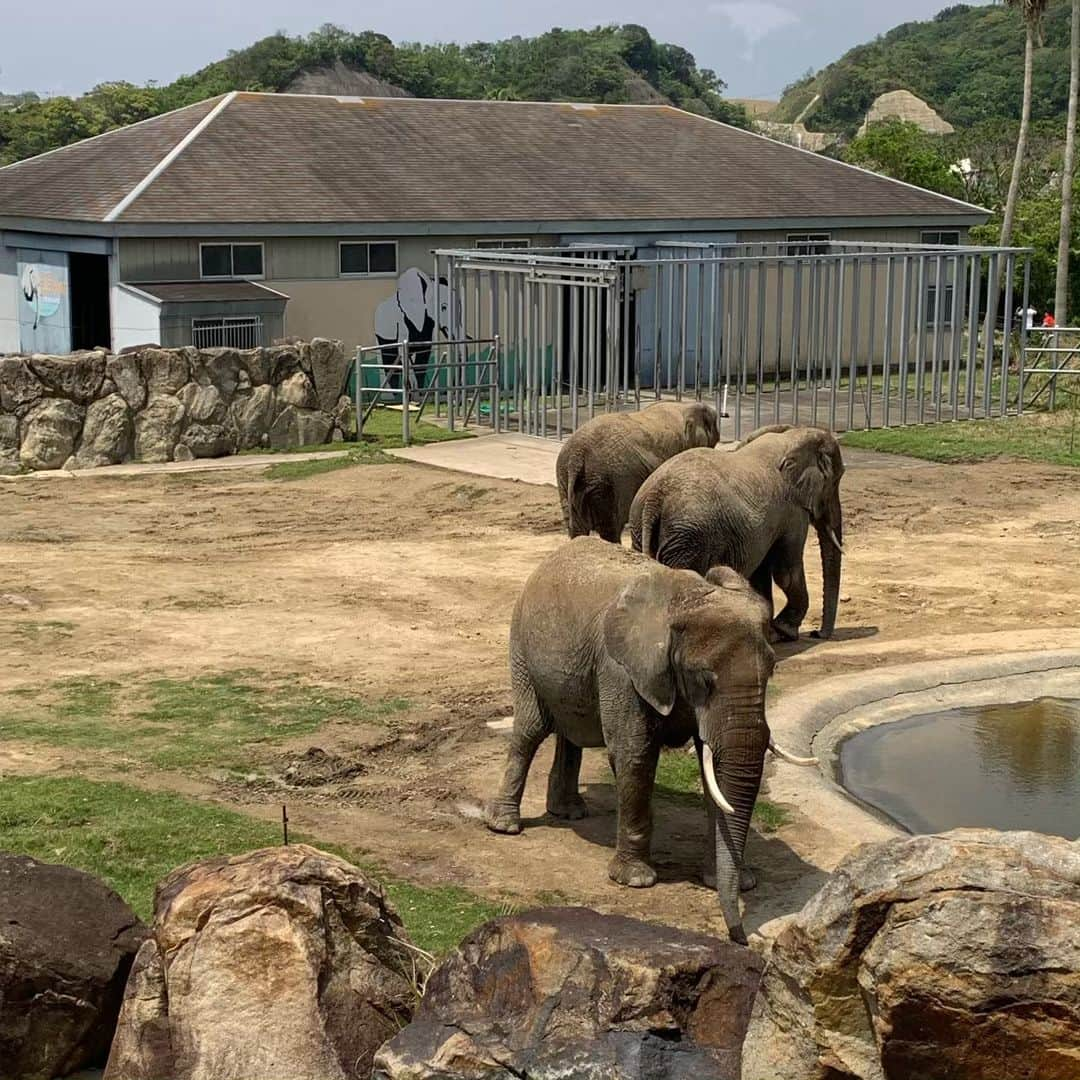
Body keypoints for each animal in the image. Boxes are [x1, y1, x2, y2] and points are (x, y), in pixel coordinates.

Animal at [486, 540, 812, 946]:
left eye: (772, 670)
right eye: (704, 679)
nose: (741, 939)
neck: (685, 599)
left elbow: (711, 772)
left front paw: (729, 880)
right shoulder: (621, 670)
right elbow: (634, 755)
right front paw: (636, 880)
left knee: (571, 731)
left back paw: (570, 811)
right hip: (522, 646)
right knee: (530, 731)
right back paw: (505, 825)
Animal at [552, 399, 721, 540]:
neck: (684, 406)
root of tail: (577, 455)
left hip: (566, 478)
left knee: (578, 528)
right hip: (607, 482)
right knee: (611, 527)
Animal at [630, 421, 846, 639]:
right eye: (835, 480)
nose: (817, 633)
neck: (793, 434)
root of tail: (655, 497)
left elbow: (762, 570)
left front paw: (769, 630)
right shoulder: (792, 511)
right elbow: (786, 572)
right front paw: (786, 631)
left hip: (647, 530)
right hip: (687, 539)